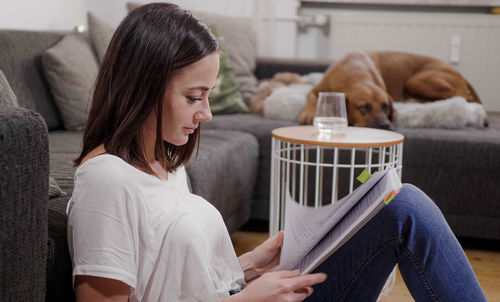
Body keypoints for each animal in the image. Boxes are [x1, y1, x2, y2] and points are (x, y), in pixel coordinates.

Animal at [298, 50, 482, 129]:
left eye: (385, 106)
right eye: (364, 107)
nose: (385, 125)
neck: (355, 71)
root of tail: (460, 74)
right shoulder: (318, 89)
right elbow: (311, 96)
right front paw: (308, 114)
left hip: (417, 80)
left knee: (460, 97)